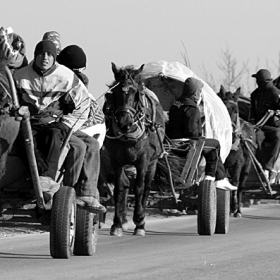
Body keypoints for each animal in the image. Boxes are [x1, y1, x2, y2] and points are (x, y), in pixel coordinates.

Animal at [104, 62, 167, 235]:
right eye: (114, 93)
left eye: (135, 93)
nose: (124, 122)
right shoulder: (116, 161)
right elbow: (119, 187)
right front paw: (117, 224)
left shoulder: (142, 161)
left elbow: (139, 187)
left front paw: (139, 222)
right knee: (126, 184)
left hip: (152, 163)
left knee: (146, 188)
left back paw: (140, 219)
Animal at [218, 86, 258, 218]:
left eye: (236, 111)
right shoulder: (223, 163)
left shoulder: (238, 164)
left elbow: (235, 184)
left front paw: (234, 208)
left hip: (246, 166)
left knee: (240, 186)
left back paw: (238, 210)